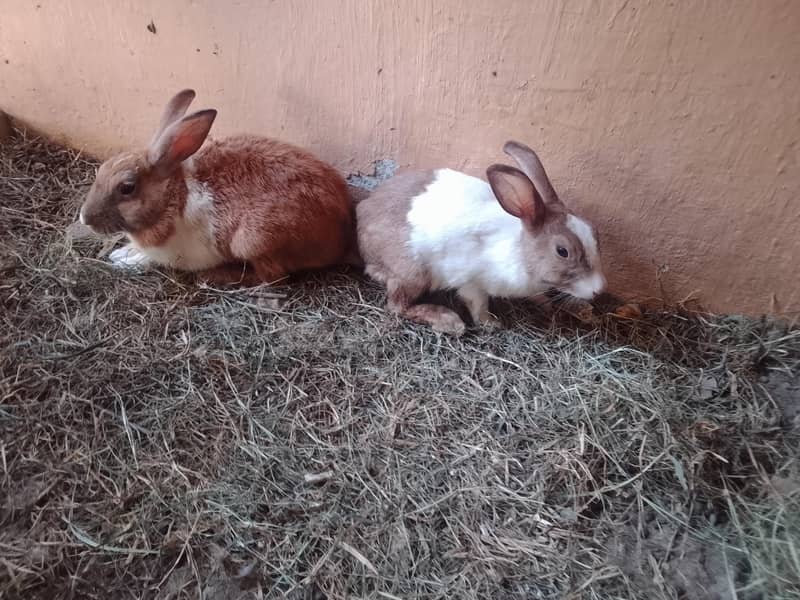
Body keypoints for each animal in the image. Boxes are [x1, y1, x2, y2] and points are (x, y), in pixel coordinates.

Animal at [79, 89, 356, 285]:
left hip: (251, 241)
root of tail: (341, 231)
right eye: (101, 169)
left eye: (127, 188)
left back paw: (218, 277)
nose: (84, 218)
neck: (174, 197)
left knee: (272, 276)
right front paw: (122, 256)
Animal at [356, 140, 607, 335]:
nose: (598, 291)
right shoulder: (472, 282)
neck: (519, 251)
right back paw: (448, 321)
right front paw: (492, 324)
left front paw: (545, 304)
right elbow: (478, 305)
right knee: (397, 306)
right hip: (413, 272)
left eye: (595, 233)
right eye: (562, 251)